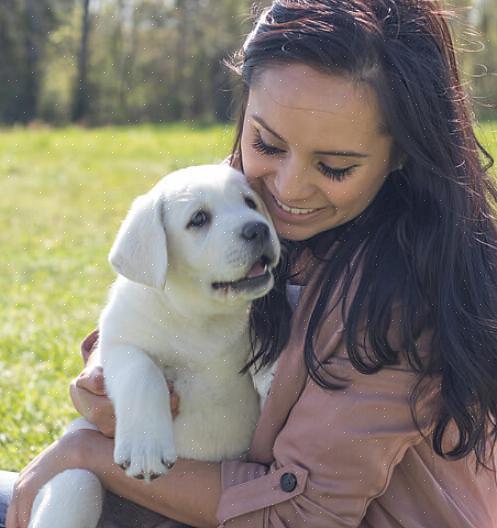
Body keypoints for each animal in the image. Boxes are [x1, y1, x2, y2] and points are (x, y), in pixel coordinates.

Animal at [30, 165, 280, 528]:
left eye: (250, 203)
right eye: (199, 219)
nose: (258, 228)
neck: (201, 318)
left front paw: (273, 372)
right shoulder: (119, 344)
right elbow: (142, 374)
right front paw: (145, 448)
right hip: (74, 482)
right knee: (79, 481)